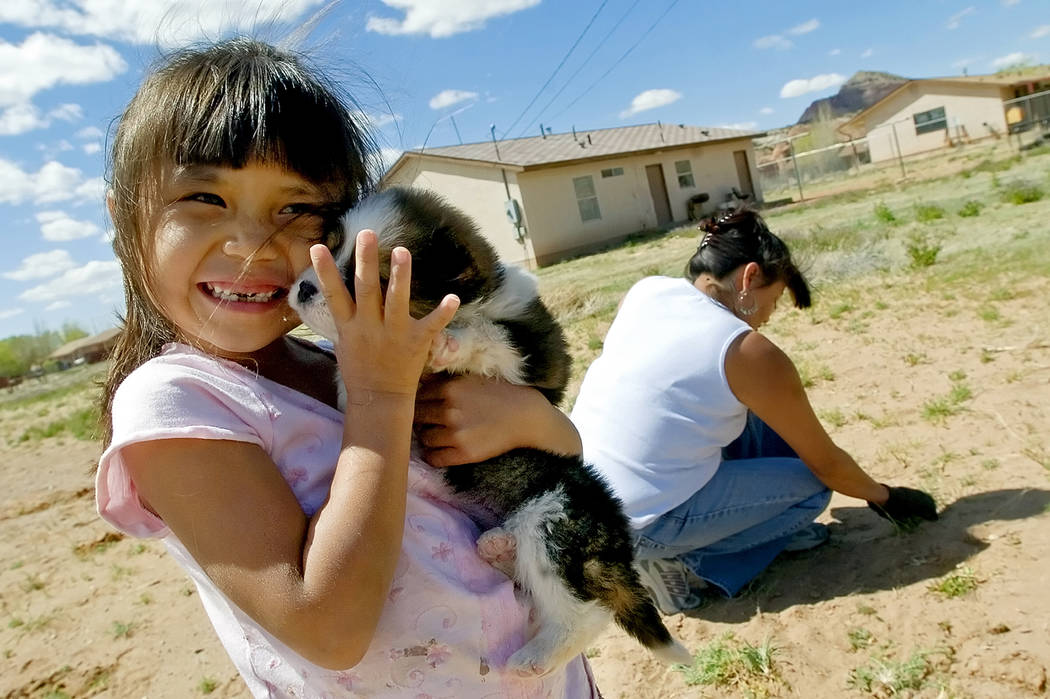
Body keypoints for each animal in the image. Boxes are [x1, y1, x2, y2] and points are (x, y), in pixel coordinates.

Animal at [291, 184, 692, 675]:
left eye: (375, 280)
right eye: (329, 249)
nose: (304, 287)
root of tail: (615, 547)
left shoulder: (536, 356)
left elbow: (494, 335)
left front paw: (451, 342)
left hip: (555, 520)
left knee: (584, 613)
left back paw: (534, 656)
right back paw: (495, 542)